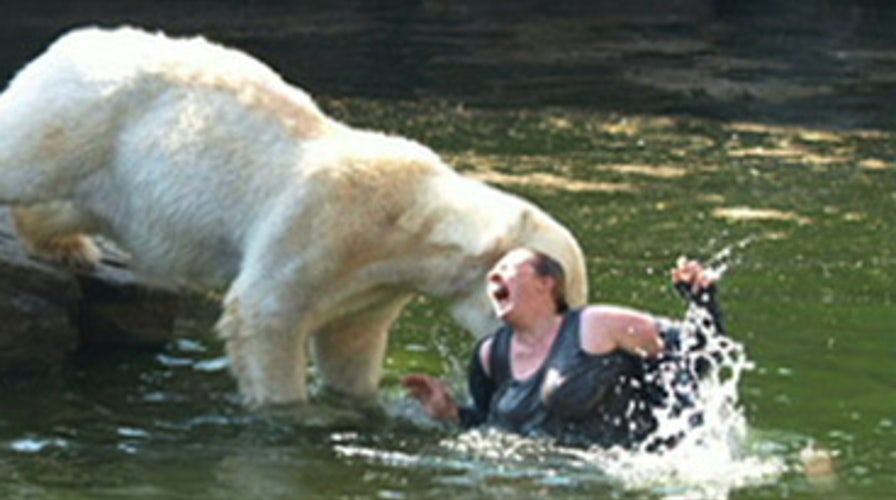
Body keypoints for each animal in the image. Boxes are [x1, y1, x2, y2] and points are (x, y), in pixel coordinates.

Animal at [0, 26, 588, 407]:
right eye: (563, 297)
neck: (406, 219)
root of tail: (67, 44)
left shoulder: (375, 286)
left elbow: (351, 343)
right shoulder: (321, 223)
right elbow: (266, 313)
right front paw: (287, 410)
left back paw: (67, 246)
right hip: (81, 115)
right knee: (22, 156)